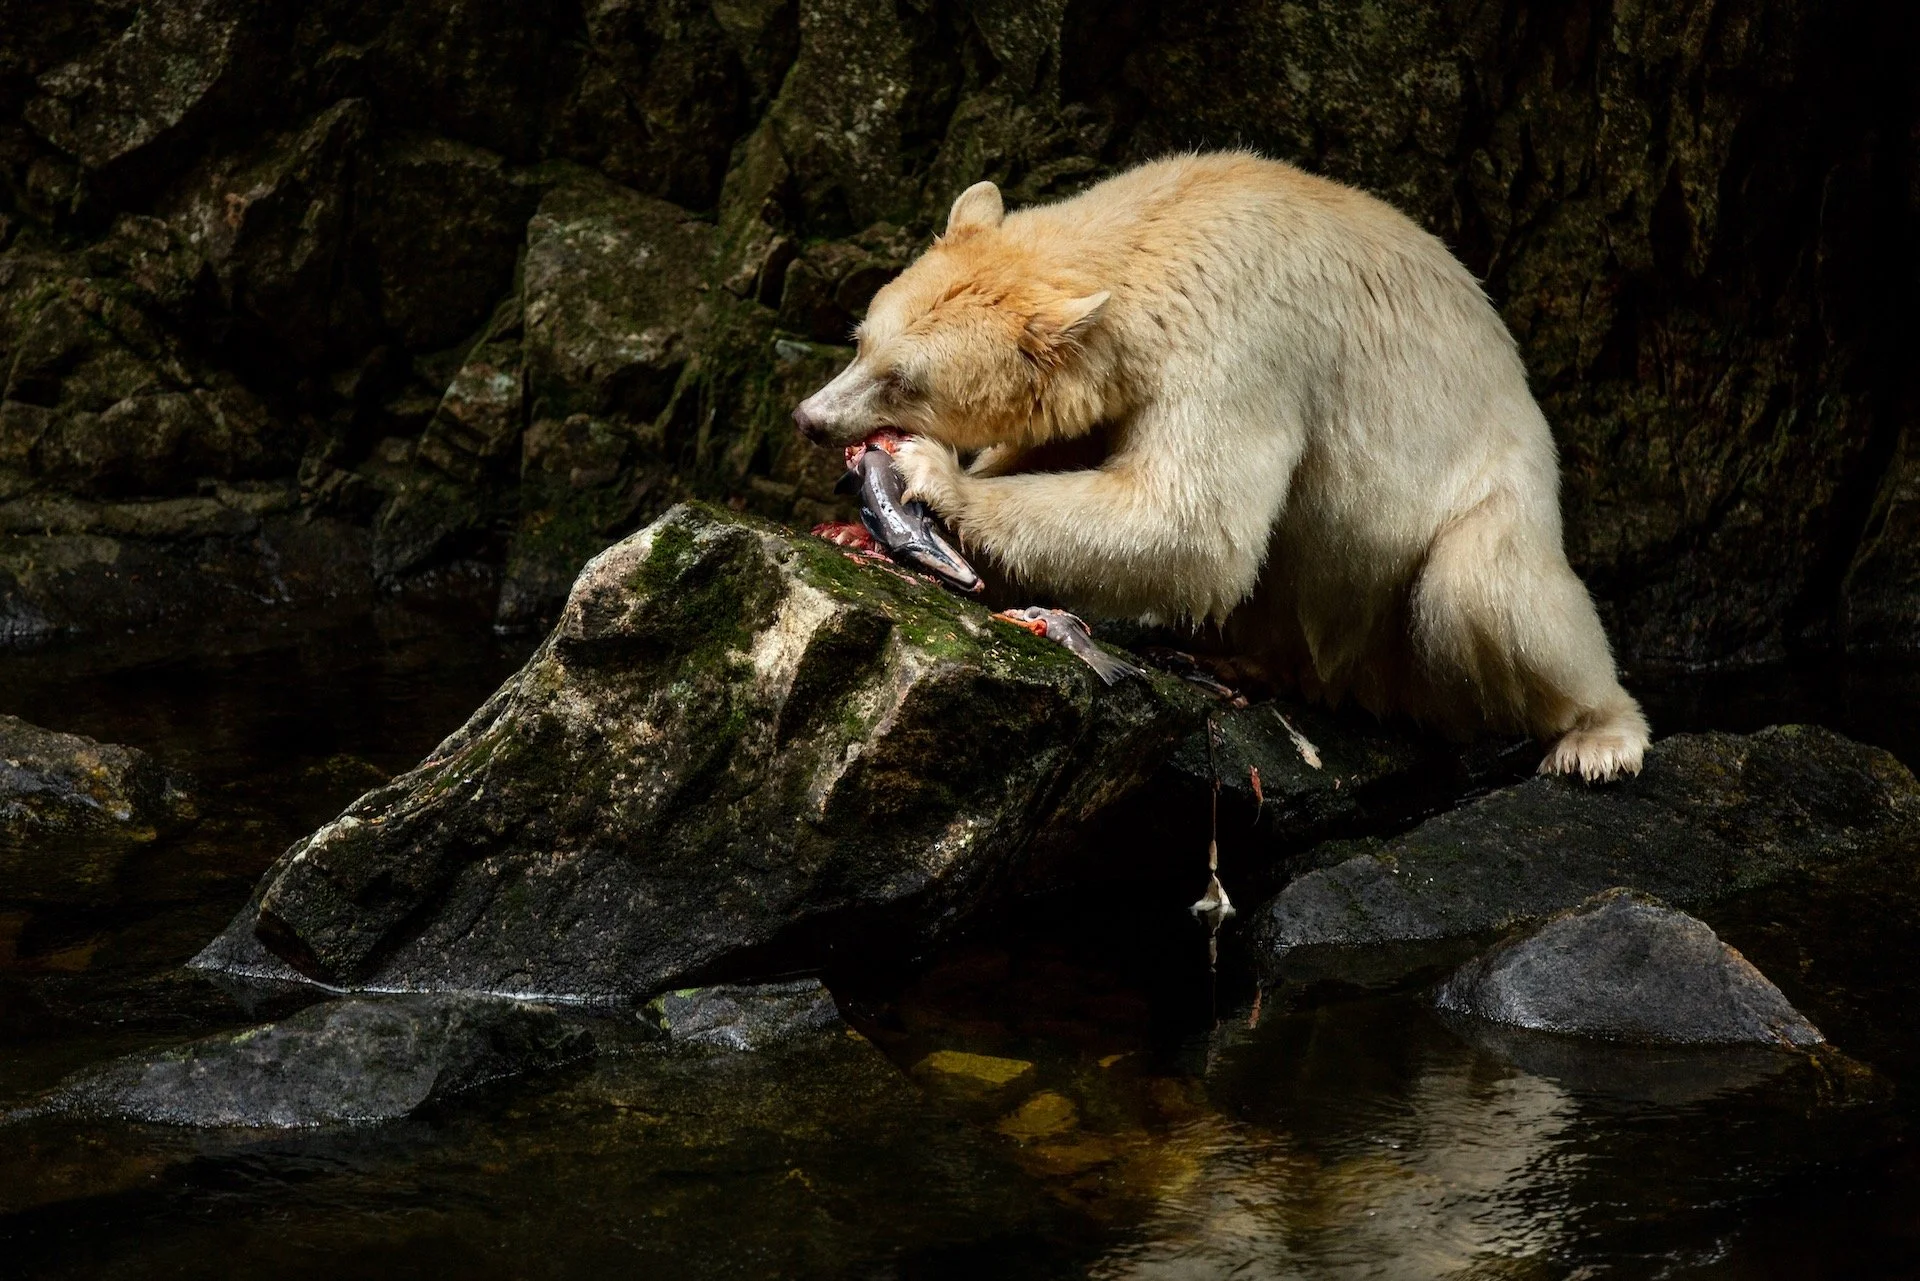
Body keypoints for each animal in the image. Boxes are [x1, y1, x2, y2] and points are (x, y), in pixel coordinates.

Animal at [792, 151, 1649, 782]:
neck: (1160, 225)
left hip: (1493, 497)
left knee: (1484, 588)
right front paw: (860, 531)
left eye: (905, 380)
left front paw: (932, 476)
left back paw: (1600, 737)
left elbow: (1193, 519)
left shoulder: (1238, 334)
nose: (809, 418)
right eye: (862, 339)